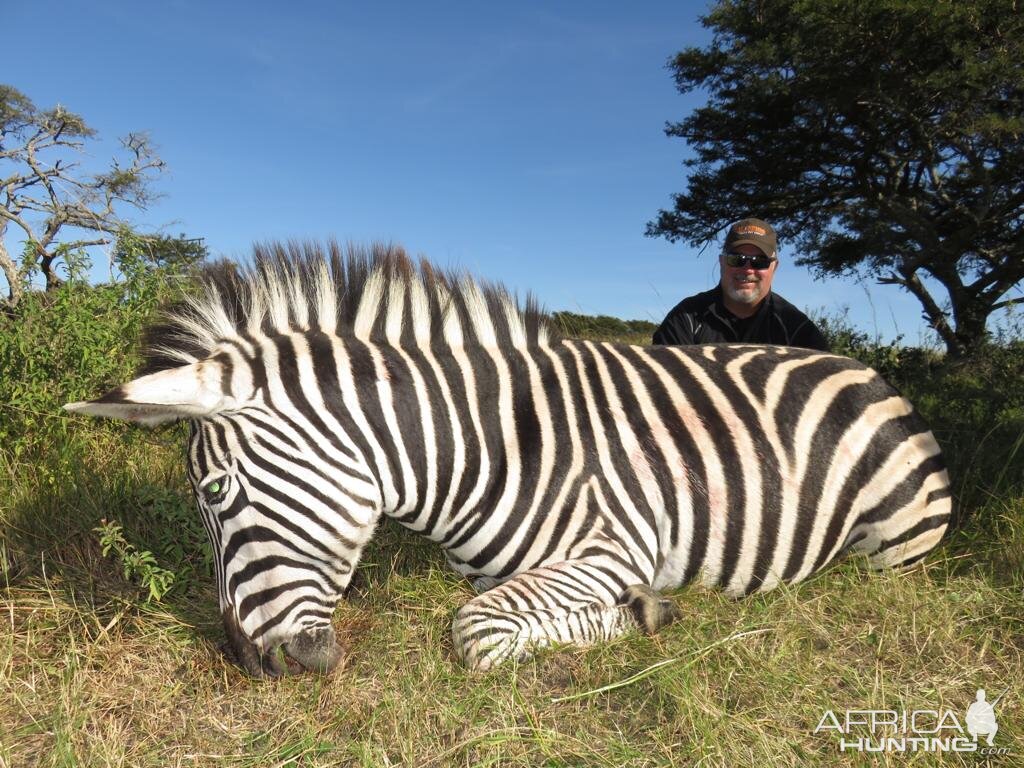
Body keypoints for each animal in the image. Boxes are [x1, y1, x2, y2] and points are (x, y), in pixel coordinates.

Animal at [66, 243, 950, 675]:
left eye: (216, 492)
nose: (250, 664)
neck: (485, 445)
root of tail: (864, 366)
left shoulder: (613, 545)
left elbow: (476, 631)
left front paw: (645, 613)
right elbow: (490, 611)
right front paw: (641, 612)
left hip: (893, 549)